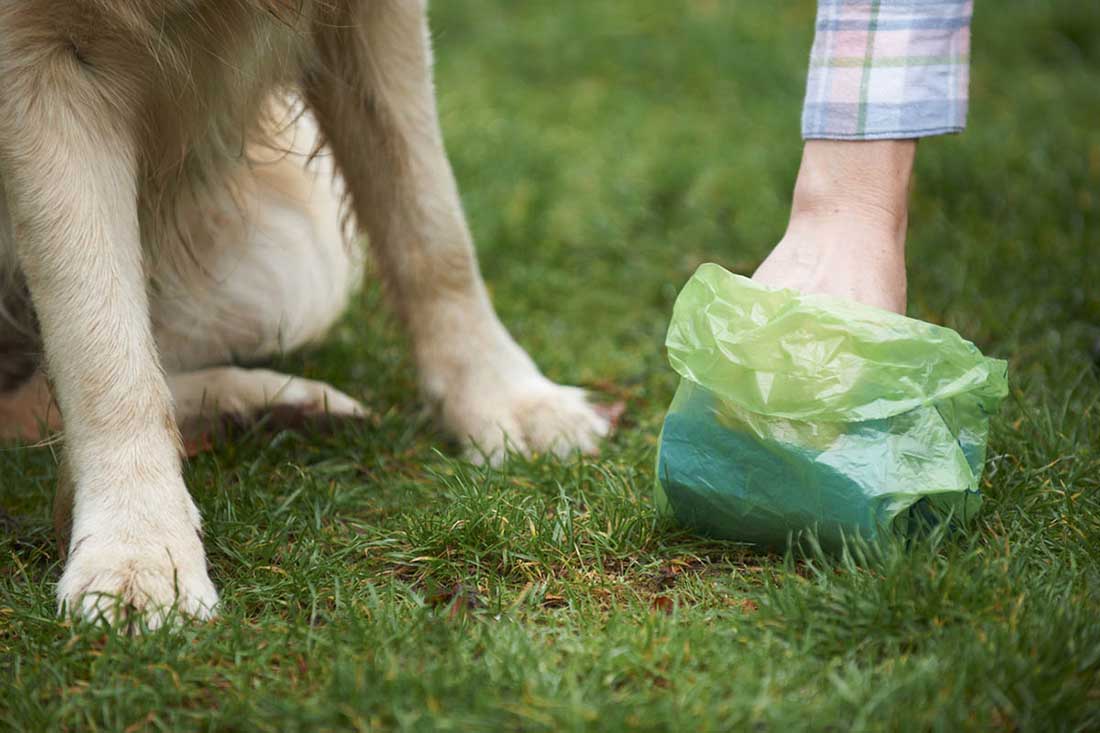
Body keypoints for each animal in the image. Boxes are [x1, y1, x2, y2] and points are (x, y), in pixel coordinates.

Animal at [0, 1, 611, 629]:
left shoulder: (373, 22)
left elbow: (431, 225)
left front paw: (506, 400)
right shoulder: (37, 59)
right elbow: (101, 346)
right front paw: (137, 549)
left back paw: (277, 407)